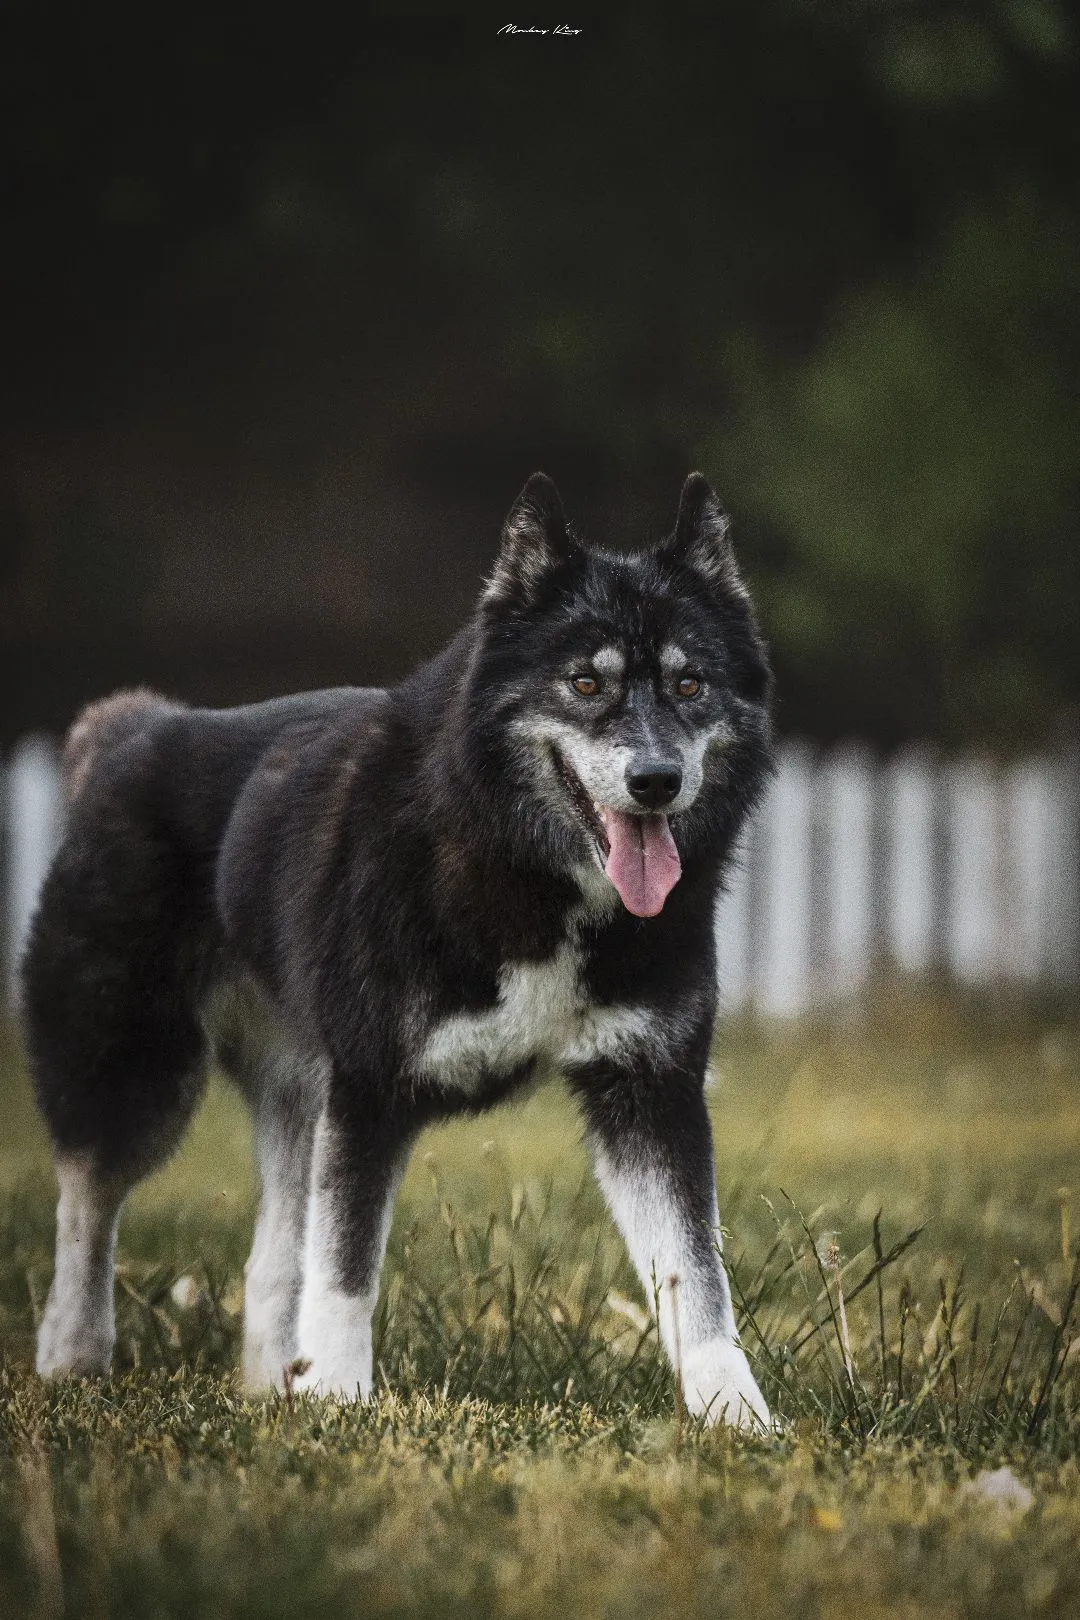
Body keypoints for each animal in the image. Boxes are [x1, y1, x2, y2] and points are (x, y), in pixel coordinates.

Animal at [23, 473, 777, 1432]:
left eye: (689, 683)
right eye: (583, 681)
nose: (656, 781)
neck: (525, 873)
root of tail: (127, 736)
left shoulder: (649, 1092)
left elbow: (695, 1271)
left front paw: (737, 1417)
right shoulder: (370, 1091)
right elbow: (346, 1270)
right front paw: (341, 1404)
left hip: (295, 1095)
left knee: (270, 1258)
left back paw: (270, 1386)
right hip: (133, 1071)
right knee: (86, 1206)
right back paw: (73, 1359)